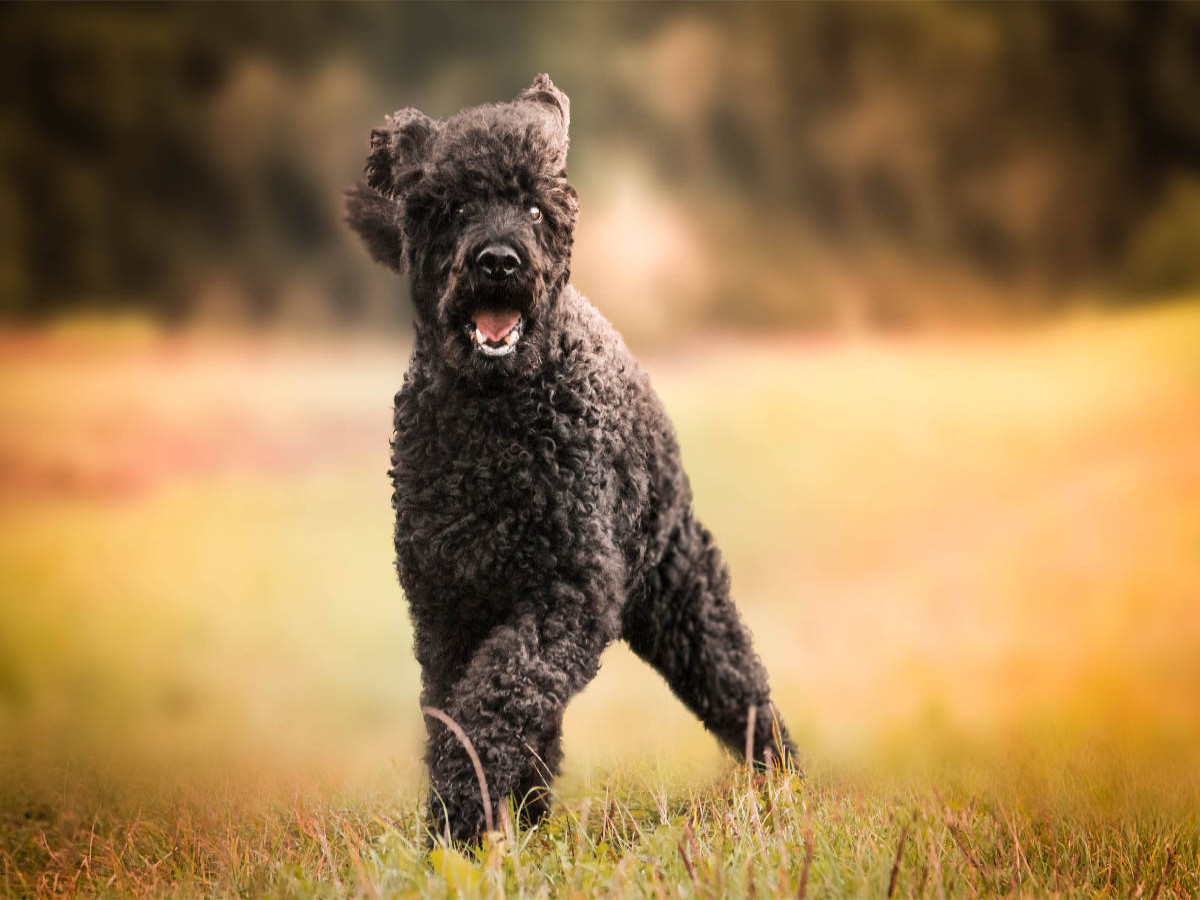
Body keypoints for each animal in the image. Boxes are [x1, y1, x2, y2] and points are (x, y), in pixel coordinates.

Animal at [348, 75, 796, 844]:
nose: (499, 260)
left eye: (535, 208)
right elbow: (464, 709)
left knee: (740, 686)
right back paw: (530, 816)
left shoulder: (567, 591)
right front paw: (469, 822)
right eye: (456, 206)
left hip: (683, 595)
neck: (494, 420)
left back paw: (785, 783)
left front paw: (461, 815)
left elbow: (497, 699)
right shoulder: (447, 608)